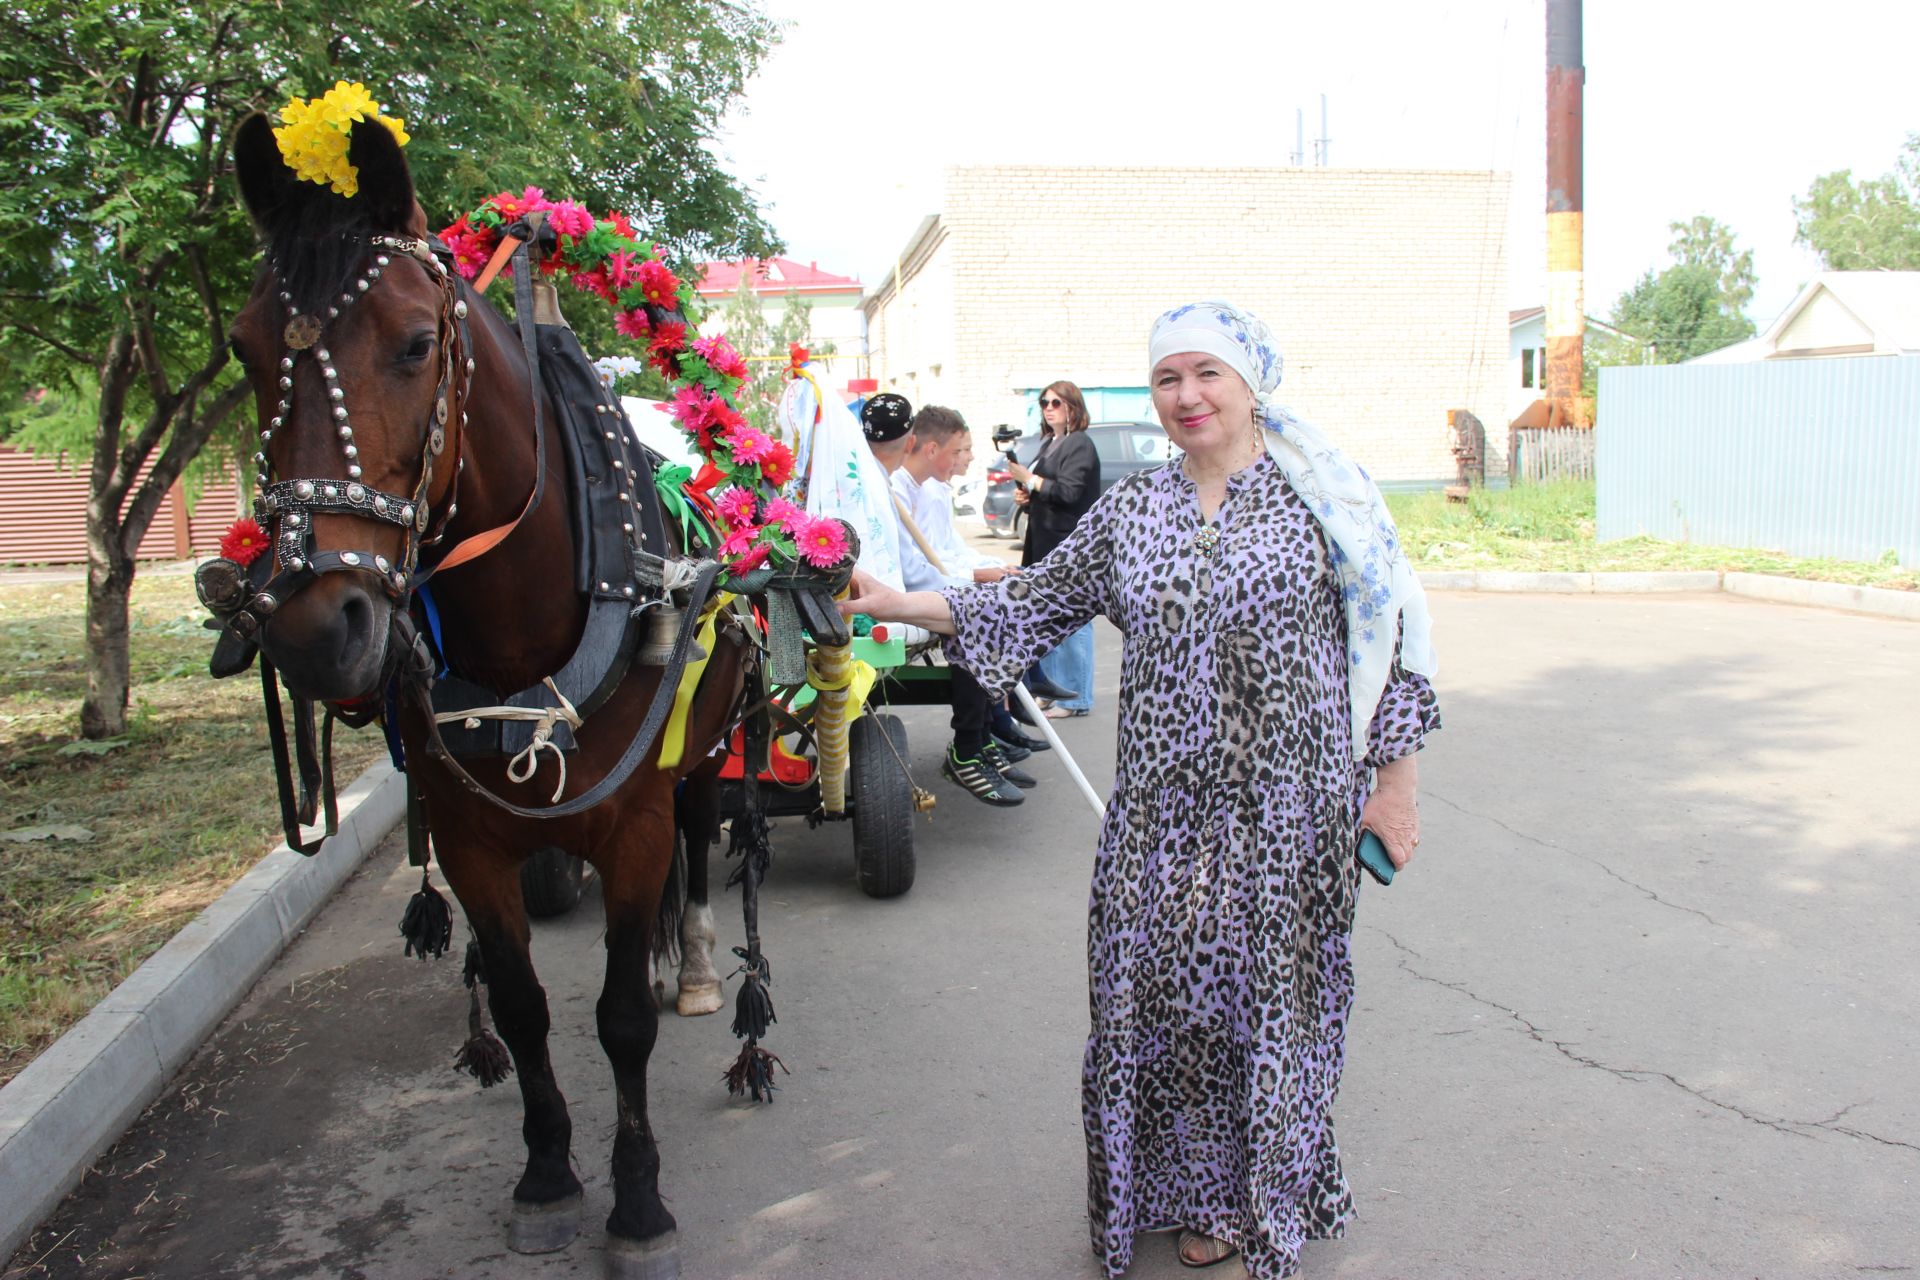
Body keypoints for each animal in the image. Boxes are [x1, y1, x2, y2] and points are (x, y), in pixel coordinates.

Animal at [194, 84, 856, 1274]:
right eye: (243, 345)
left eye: (416, 343)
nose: (319, 629)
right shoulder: (471, 835)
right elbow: (521, 1004)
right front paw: (548, 1173)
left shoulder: (633, 820)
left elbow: (618, 1021)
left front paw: (636, 1200)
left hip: (695, 764)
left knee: (699, 850)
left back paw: (693, 967)